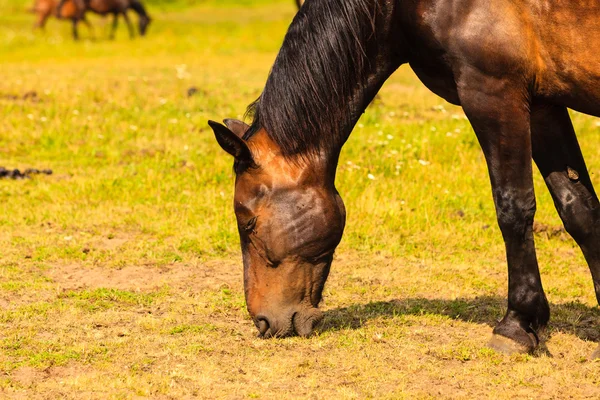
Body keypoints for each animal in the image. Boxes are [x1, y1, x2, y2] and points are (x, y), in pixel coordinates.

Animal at [209, 0, 600, 358]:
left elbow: (513, 208)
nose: (263, 322)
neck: (397, 8)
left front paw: (516, 326)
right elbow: (579, 210)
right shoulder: (542, 102)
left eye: (248, 223)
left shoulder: (494, 92)